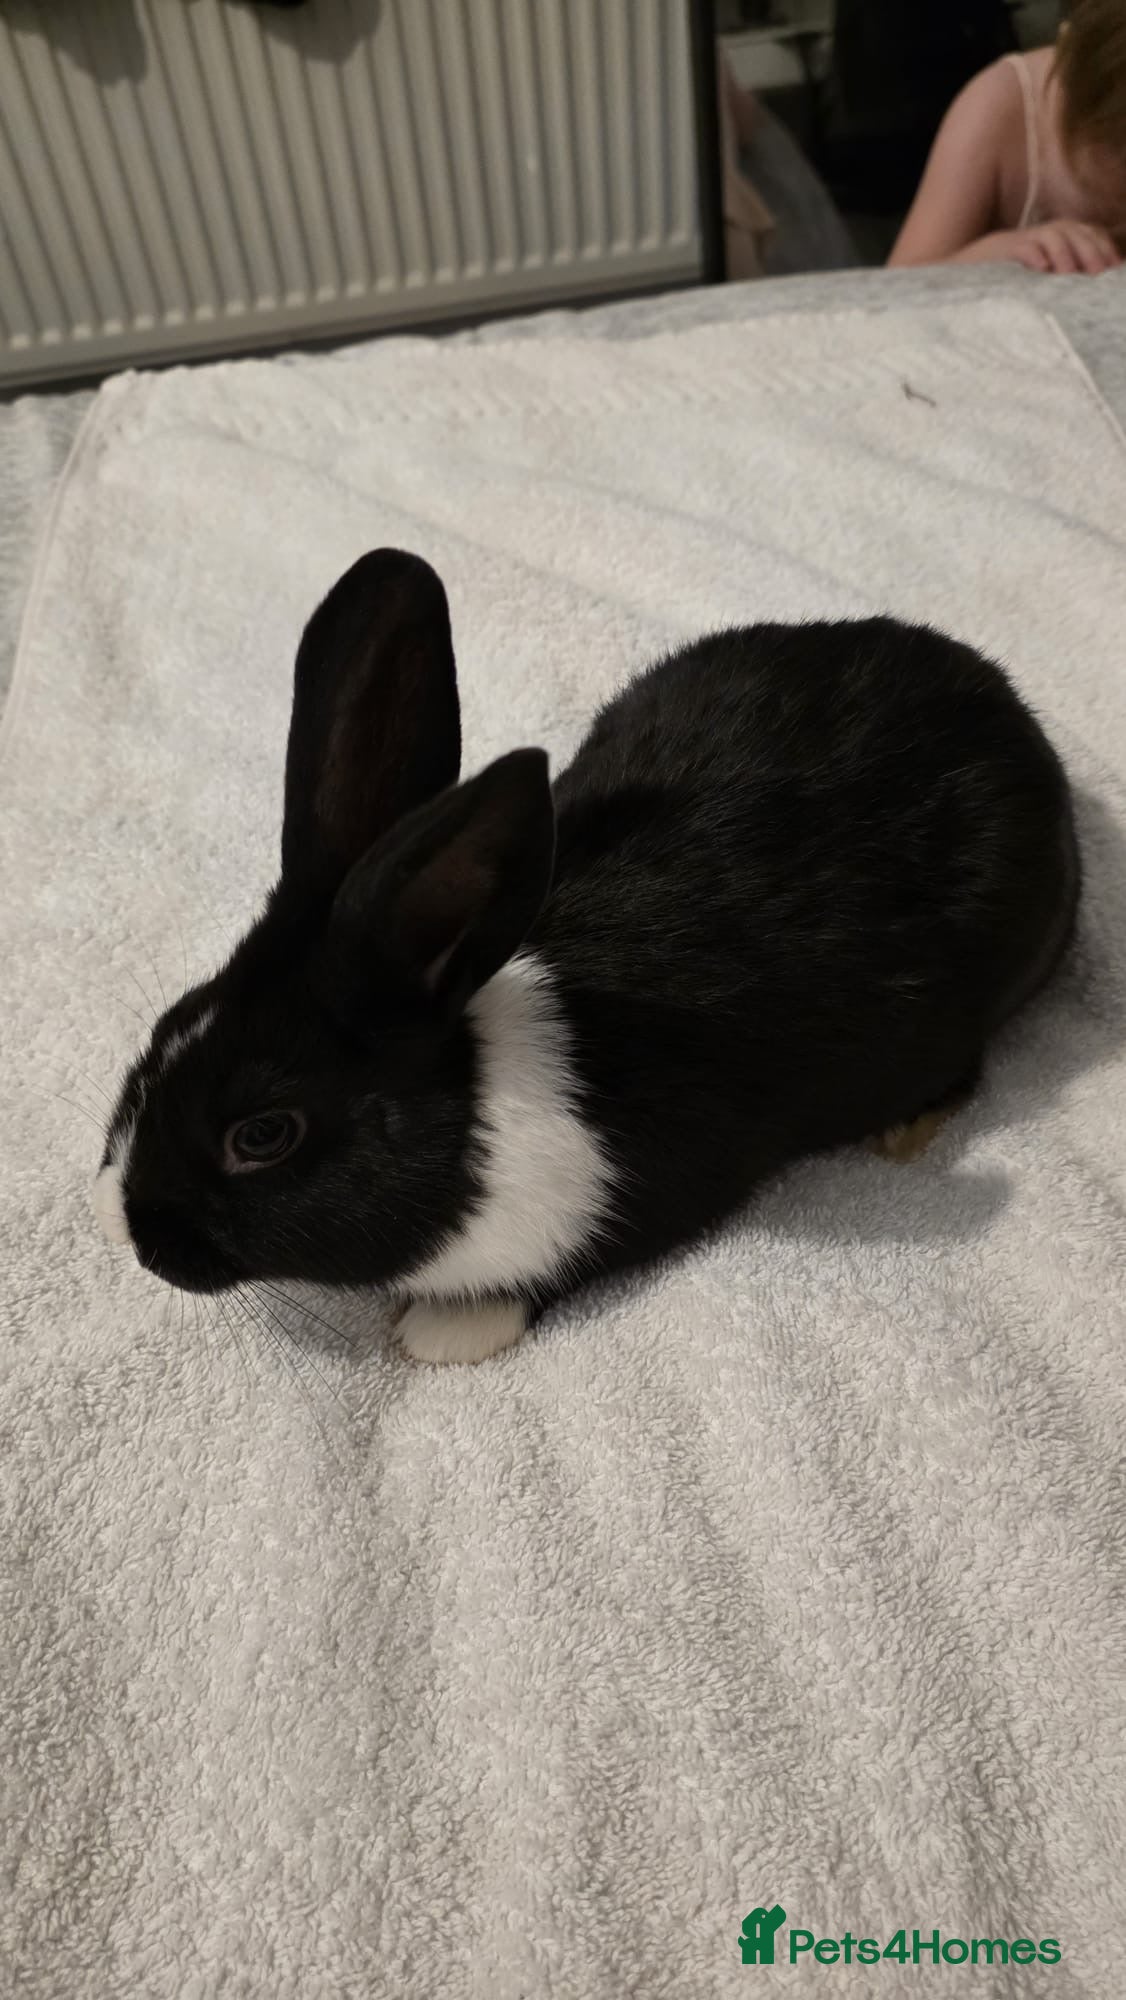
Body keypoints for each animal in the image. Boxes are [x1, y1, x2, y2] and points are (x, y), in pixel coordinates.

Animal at [94, 549, 1079, 1365]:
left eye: (263, 1135)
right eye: (166, 1025)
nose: (129, 1231)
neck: (477, 1098)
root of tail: (1006, 707)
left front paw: (444, 1335)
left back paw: (902, 1132)